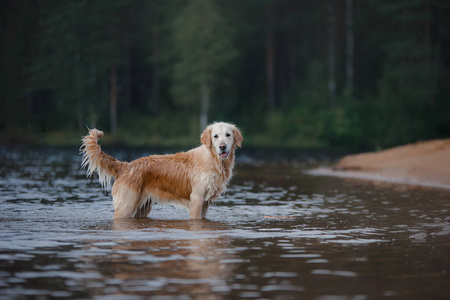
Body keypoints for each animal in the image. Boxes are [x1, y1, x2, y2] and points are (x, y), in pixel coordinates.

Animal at [81, 121, 243, 218]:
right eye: (215, 136)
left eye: (228, 135)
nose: (222, 146)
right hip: (127, 206)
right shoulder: (197, 199)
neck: (213, 160)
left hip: (142, 207)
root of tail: (126, 166)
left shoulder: (205, 203)